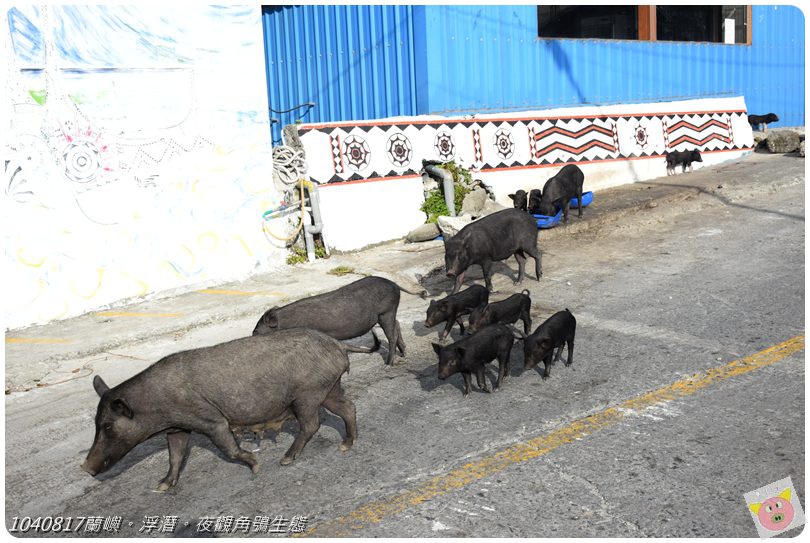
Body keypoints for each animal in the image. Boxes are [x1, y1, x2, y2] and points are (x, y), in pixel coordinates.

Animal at [80, 328, 374, 492]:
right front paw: (160, 487)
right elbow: (175, 456)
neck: (156, 406)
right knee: (348, 407)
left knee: (311, 424)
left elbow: (228, 448)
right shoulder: (178, 428)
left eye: (108, 426)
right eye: (95, 423)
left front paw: (255, 466)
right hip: (328, 388)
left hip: (307, 394)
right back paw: (347, 445)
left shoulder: (211, 420)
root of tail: (338, 344)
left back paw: (286, 460)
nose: (85, 468)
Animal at [252, 276, 422, 366]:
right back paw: (404, 353)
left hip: (386, 311)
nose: (252, 335)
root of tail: (394, 284)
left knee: (391, 335)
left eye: (257, 331)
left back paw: (388, 364)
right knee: (397, 325)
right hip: (387, 314)